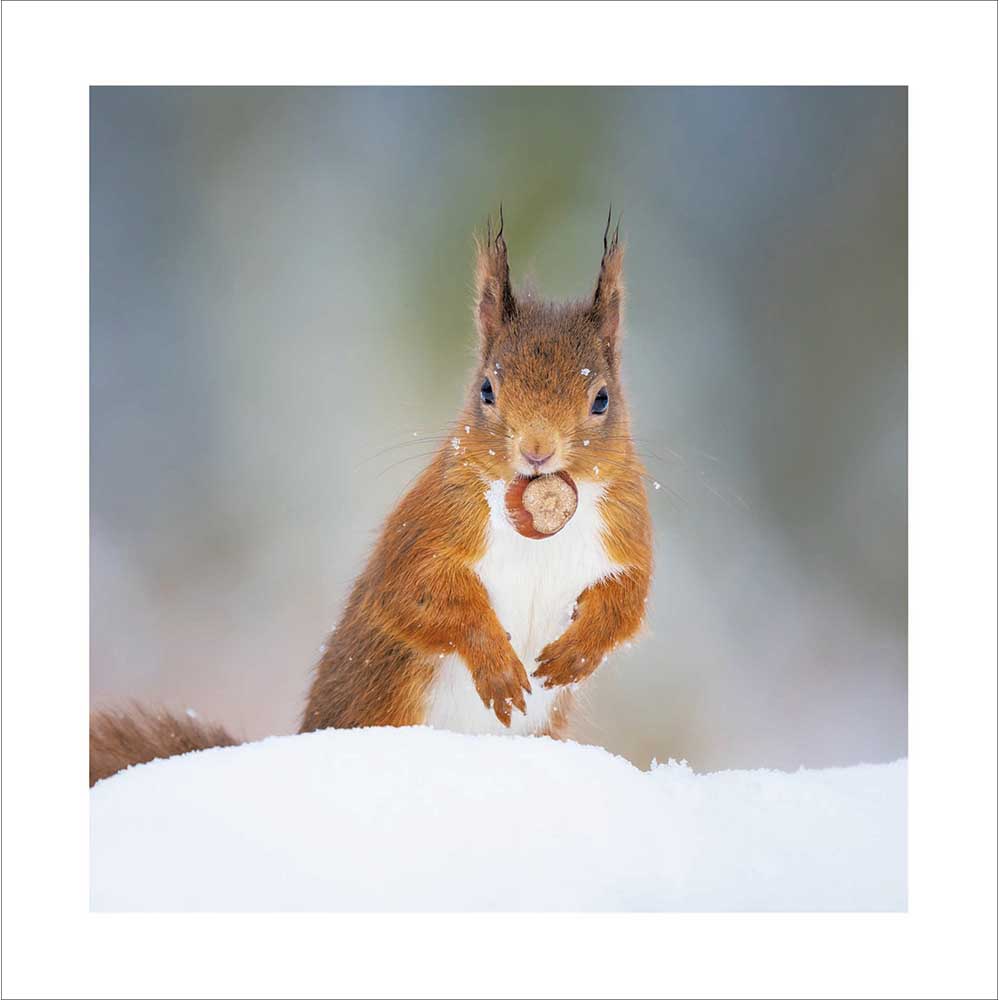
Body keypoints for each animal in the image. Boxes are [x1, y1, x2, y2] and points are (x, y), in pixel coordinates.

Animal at [90, 211, 653, 786]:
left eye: (601, 399)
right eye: (487, 390)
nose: (537, 450)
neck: (541, 523)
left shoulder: (626, 528)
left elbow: (628, 602)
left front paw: (575, 655)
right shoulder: (434, 522)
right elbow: (412, 593)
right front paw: (496, 665)